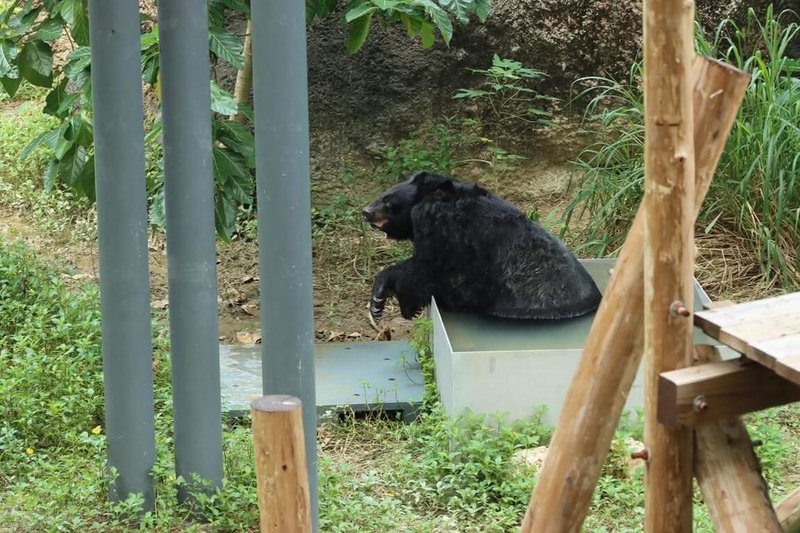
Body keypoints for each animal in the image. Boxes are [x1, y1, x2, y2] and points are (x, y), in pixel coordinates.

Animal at [362, 171, 602, 321]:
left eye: (388, 201)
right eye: (383, 194)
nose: (365, 211)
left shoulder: (446, 231)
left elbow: (430, 270)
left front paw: (383, 298)